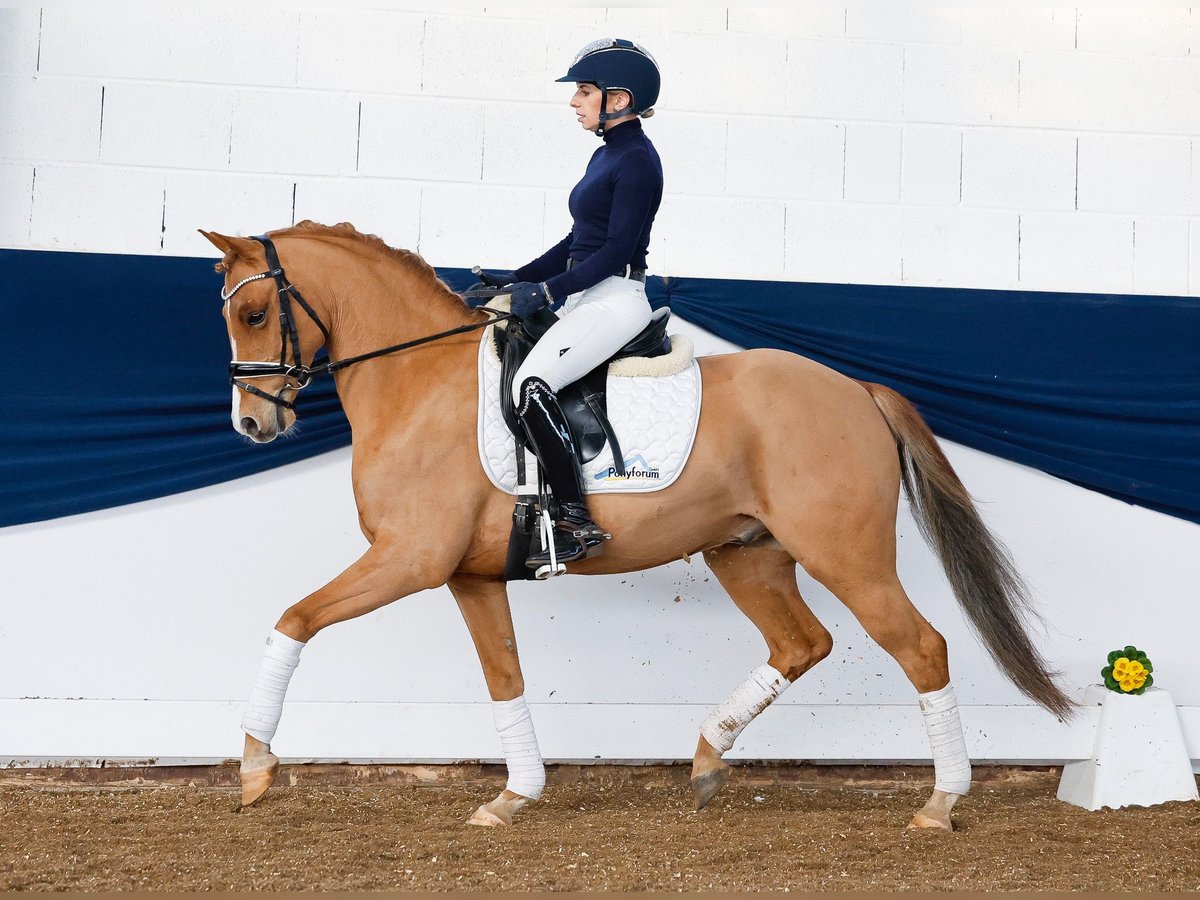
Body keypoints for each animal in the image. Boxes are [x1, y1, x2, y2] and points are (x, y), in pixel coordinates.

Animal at [201, 222, 1075, 835]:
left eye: (255, 312)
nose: (251, 425)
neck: (417, 381)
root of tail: (858, 389)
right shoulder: (469, 576)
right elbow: (504, 678)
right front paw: (514, 796)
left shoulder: (408, 559)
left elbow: (294, 620)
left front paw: (254, 766)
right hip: (747, 553)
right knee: (802, 643)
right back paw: (707, 760)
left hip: (847, 555)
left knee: (921, 648)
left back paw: (939, 805)